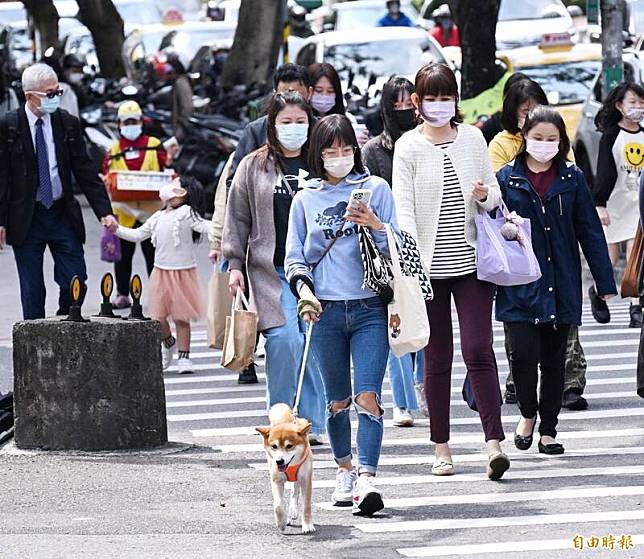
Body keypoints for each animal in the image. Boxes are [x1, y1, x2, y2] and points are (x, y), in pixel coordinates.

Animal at [258, 402, 316, 532]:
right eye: (274, 446)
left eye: (289, 446)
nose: (279, 461)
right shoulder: (276, 480)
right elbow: (279, 505)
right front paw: (281, 522)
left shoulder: (306, 479)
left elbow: (306, 505)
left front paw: (307, 525)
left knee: (294, 492)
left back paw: (293, 511)